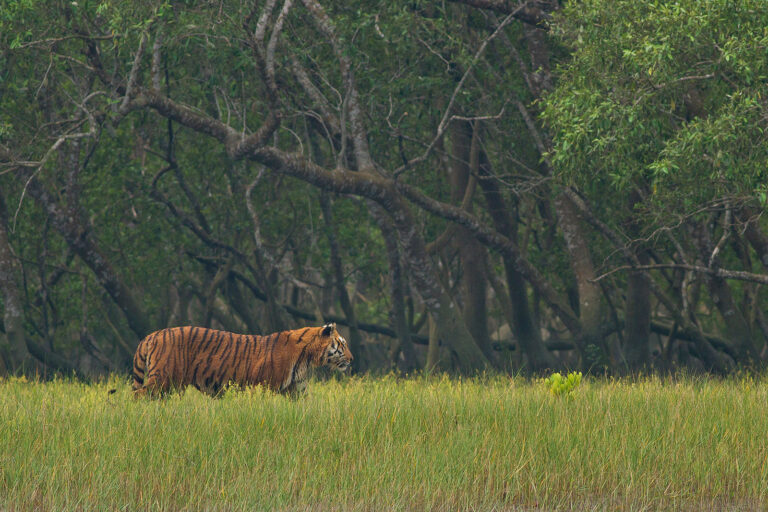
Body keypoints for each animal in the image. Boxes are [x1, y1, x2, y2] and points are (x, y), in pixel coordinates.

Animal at [130, 322, 352, 398]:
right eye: (342, 344)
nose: (352, 359)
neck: (307, 357)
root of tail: (152, 335)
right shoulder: (265, 385)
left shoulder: (297, 388)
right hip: (163, 379)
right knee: (138, 394)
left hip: (171, 385)